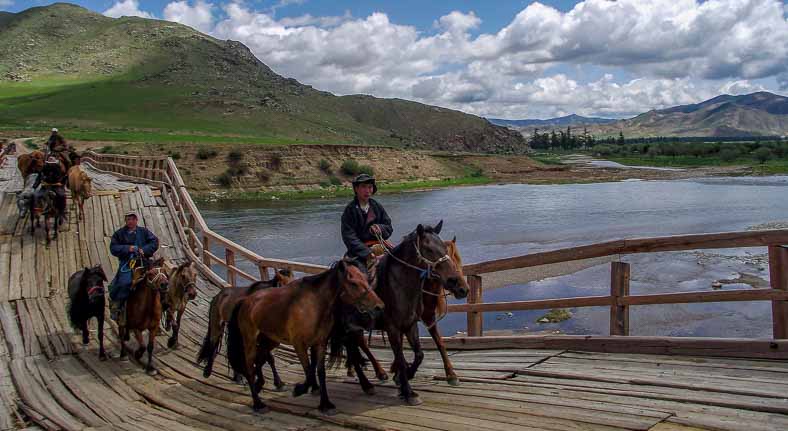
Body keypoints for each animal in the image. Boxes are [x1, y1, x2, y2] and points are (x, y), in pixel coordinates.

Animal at [225, 260, 384, 416]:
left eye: (366, 279)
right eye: (353, 283)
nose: (379, 306)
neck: (314, 306)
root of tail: (245, 301)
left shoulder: (320, 343)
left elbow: (320, 372)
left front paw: (325, 404)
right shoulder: (299, 345)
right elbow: (309, 372)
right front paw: (299, 390)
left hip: (270, 341)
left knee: (260, 360)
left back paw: (260, 386)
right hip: (250, 340)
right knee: (250, 367)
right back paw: (258, 404)